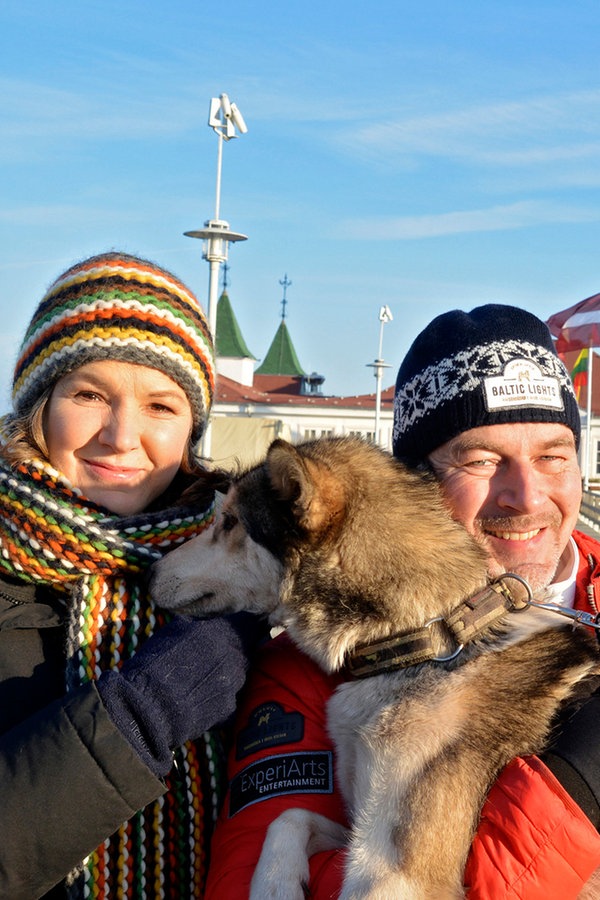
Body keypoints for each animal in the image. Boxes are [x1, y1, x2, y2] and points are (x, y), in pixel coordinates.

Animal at [151, 434, 600, 892]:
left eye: (229, 523)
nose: (150, 573)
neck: (430, 638)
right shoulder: (361, 829)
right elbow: (288, 816)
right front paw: (274, 883)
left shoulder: (396, 871)